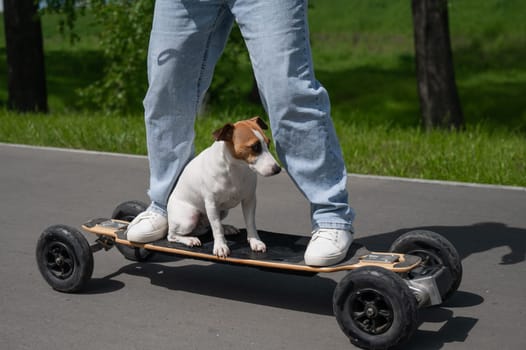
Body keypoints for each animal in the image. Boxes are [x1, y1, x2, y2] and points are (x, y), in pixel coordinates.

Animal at [167, 117, 282, 258]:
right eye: (255, 147)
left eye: (268, 143)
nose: (277, 169)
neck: (236, 168)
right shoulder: (212, 204)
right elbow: (217, 228)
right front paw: (220, 246)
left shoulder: (249, 200)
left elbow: (250, 223)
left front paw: (255, 241)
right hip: (188, 218)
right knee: (172, 235)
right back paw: (190, 239)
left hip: (222, 211)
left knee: (210, 226)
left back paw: (226, 228)